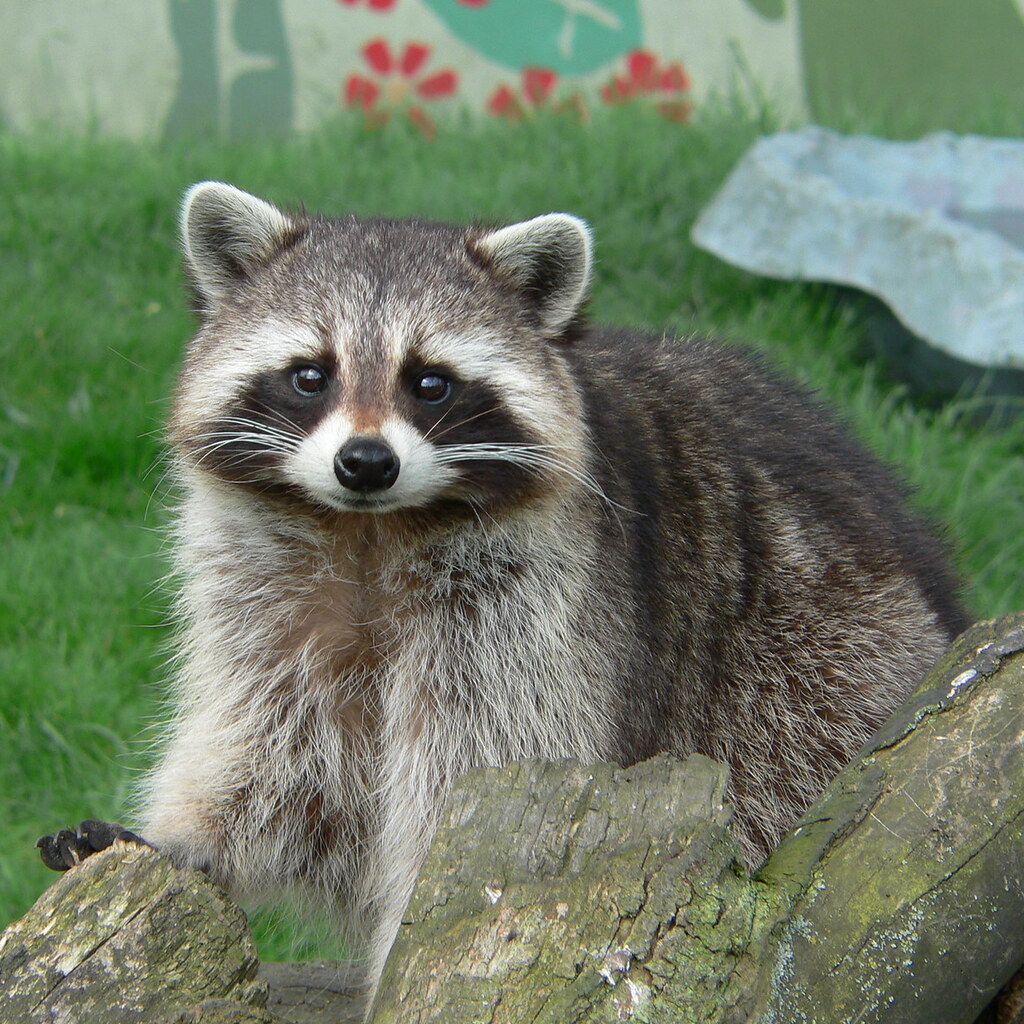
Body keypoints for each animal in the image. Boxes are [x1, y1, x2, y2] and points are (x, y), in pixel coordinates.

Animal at [41, 182, 968, 1001]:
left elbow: (477, 771)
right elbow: (280, 755)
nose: (365, 463)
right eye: (311, 375)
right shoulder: (267, 597)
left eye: (430, 382)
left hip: (819, 663)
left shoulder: (535, 613)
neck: (370, 531)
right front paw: (187, 841)